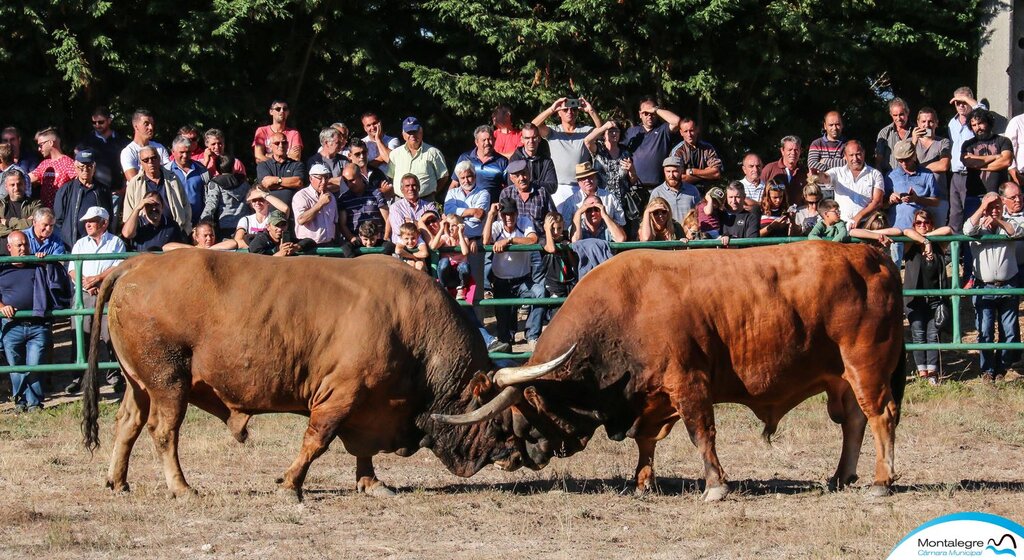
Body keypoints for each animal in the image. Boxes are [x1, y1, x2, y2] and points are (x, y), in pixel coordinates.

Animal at [82, 251, 573, 501]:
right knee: (163, 431)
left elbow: (363, 451)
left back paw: (119, 481)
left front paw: (371, 482)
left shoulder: (372, 404)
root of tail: (134, 265)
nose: (538, 451)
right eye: (504, 419)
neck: (410, 327)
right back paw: (181, 487)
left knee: (127, 425)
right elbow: (316, 442)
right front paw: (291, 484)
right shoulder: (341, 393)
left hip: (138, 383)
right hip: (169, 381)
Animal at [436, 243, 909, 501]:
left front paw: (715, 485)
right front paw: (642, 481)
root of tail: (870, 254)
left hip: (865, 367)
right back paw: (841, 476)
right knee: (854, 423)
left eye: (517, 417)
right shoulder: (650, 398)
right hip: (841, 378)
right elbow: (645, 443)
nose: (517, 459)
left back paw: (881, 481)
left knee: (880, 417)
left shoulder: (689, 383)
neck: (623, 309)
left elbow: (702, 434)